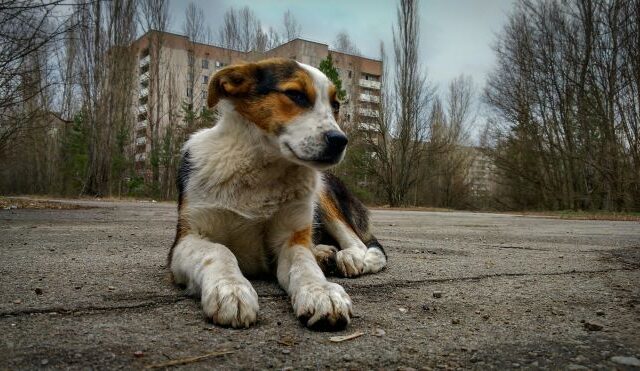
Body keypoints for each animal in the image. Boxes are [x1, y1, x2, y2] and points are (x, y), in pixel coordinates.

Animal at [169, 58, 384, 332]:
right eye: (296, 95)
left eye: (335, 105)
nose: (340, 141)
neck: (262, 169)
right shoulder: (186, 239)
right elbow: (218, 251)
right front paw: (231, 288)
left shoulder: (290, 240)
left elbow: (305, 265)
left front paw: (321, 291)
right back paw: (324, 253)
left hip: (322, 190)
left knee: (361, 243)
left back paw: (351, 258)